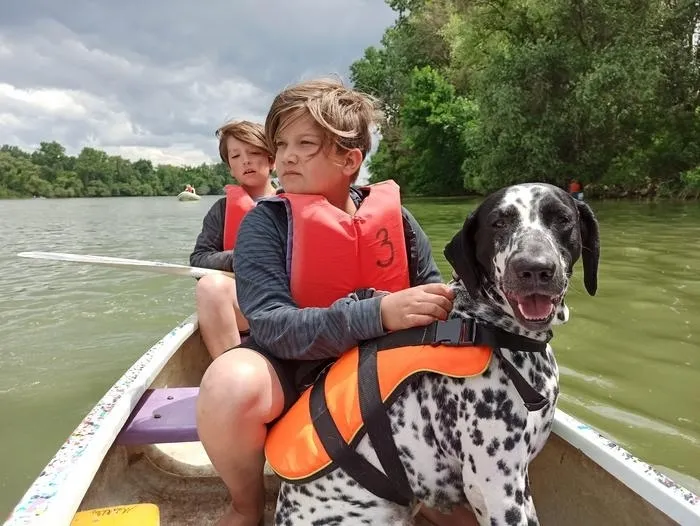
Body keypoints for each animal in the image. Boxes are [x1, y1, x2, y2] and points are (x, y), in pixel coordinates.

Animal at [270, 183, 600, 526]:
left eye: (562, 218)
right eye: (498, 223)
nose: (533, 267)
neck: (483, 325)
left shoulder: (518, 483)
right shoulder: (496, 487)